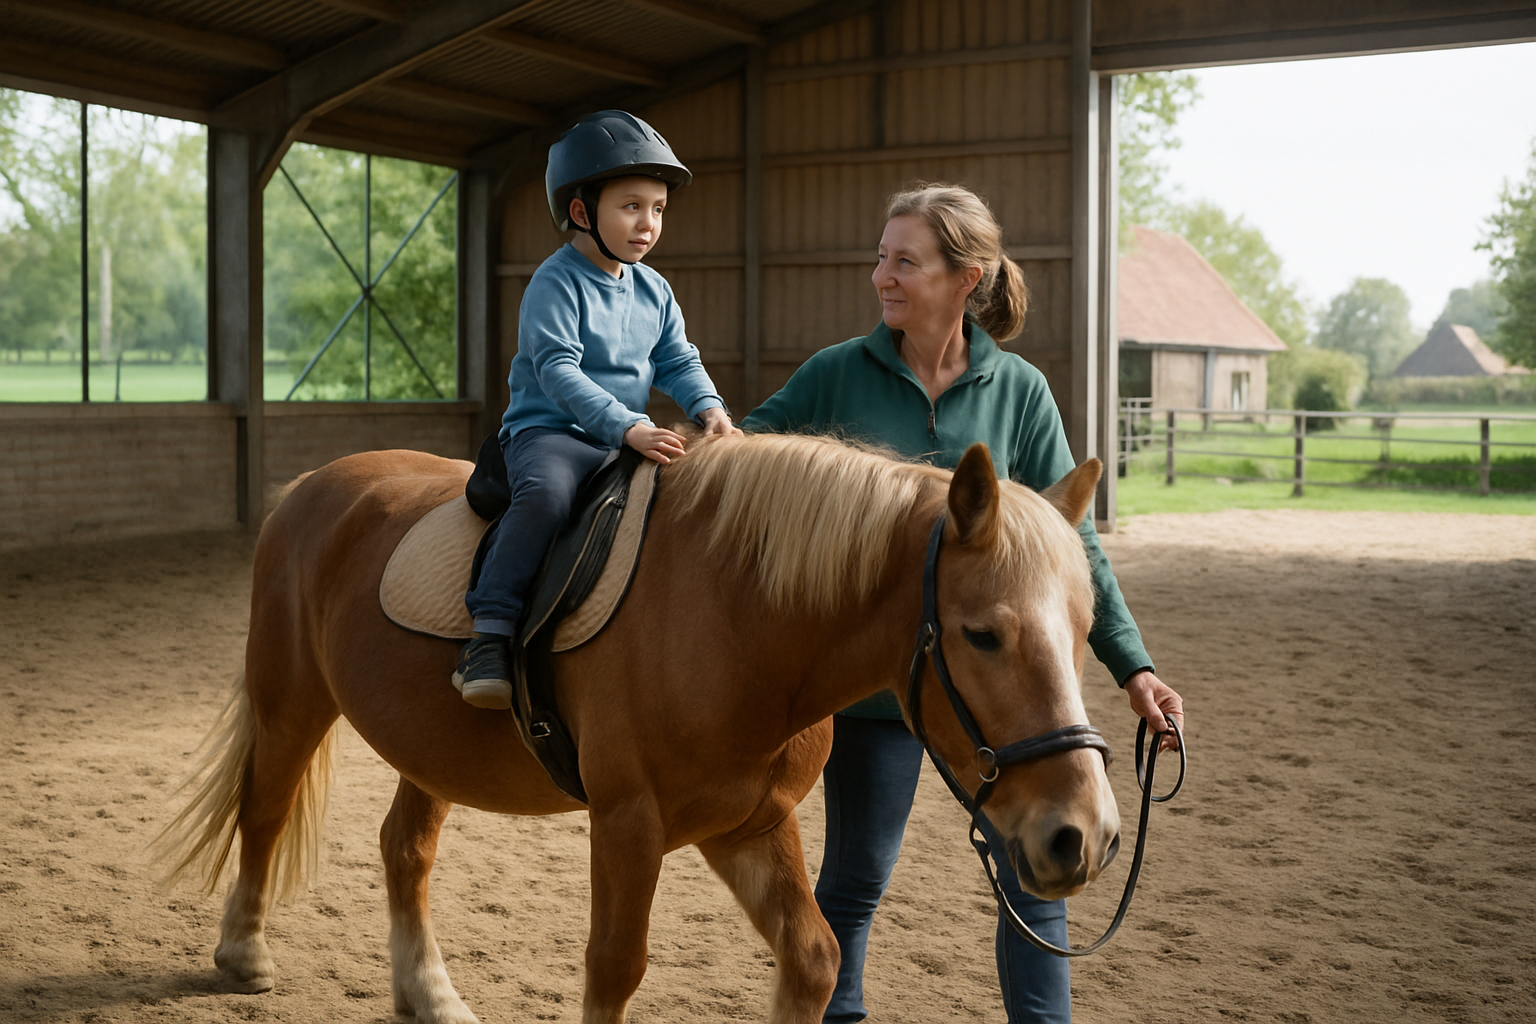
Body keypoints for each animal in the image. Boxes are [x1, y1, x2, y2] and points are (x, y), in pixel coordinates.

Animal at [156, 430, 1119, 1024]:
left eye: (1084, 629)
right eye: (983, 634)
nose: (1084, 834)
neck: (738, 614)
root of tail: (313, 487)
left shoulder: (750, 825)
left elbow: (814, 957)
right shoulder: (629, 824)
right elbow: (615, 965)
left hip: (428, 748)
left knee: (405, 848)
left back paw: (429, 993)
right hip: (290, 700)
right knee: (263, 809)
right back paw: (243, 952)